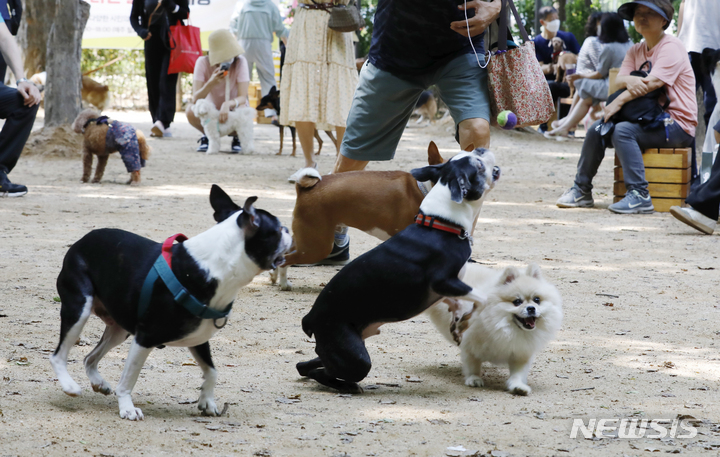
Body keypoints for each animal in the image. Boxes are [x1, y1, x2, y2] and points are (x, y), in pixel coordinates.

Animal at [48, 183, 292, 418]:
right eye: (279, 229)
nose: (290, 229)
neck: (214, 267)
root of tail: (81, 241)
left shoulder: (198, 338)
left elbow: (212, 371)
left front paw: (207, 401)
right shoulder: (145, 338)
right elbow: (128, 379)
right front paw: (127, 407)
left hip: (119, 329)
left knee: (89, 358)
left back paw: (98, 382)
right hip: (79, 308)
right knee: (58, 355)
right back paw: (70, 386)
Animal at [296, 149, 498, 392]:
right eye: (478, 166)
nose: (481, 149)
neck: (442, 224)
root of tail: (310, 317)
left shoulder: (446, 290)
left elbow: (460, 304)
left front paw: (459, 323)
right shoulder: (444, 281)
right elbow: (481, 297)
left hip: (343, 346)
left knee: (306, 365)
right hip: (354, 357)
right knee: (321, 372)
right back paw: (350, 387)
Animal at [428, 262, 564, 394]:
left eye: (537, 300)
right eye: (517, 302)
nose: (531, 308)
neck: (505, 327)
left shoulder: (521, 353)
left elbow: (518, 373)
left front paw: (518, 386)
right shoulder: (470, 345)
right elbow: (472, 365)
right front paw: (474, 379)